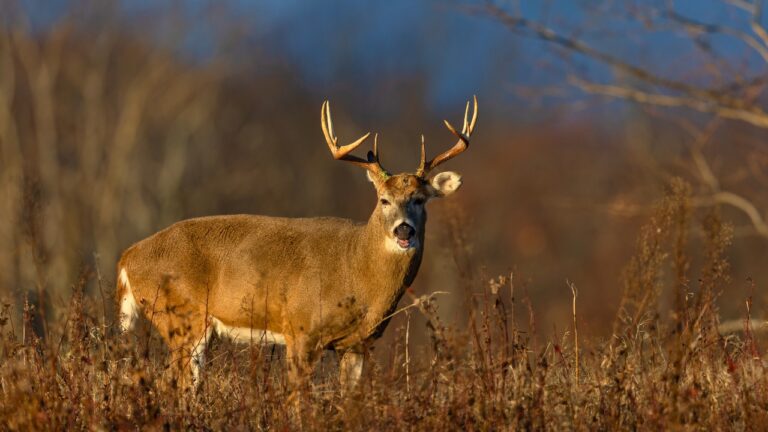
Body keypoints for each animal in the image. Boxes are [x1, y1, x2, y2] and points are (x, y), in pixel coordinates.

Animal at [116, 96, 477, 390]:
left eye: (420, 199)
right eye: (384, 200)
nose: (404, 231)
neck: (357, 271)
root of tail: (127, 258)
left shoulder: (357, 344)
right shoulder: (301, 329)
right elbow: (297, 400)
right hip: (182, 316)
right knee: (172, 383)